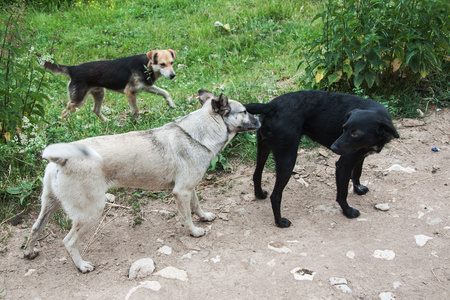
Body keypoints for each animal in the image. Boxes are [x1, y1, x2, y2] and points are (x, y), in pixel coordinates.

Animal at [44, 48, 177, 120]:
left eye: (172, 63)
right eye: (162, 64)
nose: (173, 75)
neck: (146, 66)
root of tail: (73, 68)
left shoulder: (147, 87)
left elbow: (166, 93)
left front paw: (172, 105)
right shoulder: (130, 92)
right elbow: (136, 110)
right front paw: (138, 121)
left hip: (100, 93)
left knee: (95, 110)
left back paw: (107, 121)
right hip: (78, 101)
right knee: (64, 113)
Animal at [244, 91, 400, 227]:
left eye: (356, 133)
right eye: (344, 128)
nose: (333, 147)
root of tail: (271, 105)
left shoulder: (360, 156)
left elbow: (357, 174)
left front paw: (358, 189)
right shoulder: (343, 164)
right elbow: (342, 193)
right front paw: (348, 211)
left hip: (264, 148)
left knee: (256, 174)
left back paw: (259, 194)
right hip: (287, 158)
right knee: (275, 196)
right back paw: (280, 222)